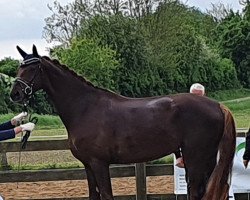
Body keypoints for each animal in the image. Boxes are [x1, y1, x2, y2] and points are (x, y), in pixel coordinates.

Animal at [10, 45, 236, 200]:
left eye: (33, 69)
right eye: (19, 68)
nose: (15, 94)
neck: (85, 107)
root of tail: (218, 106)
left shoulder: (99, 163)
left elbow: (107, 195)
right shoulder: (87, 165)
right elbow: (94, 195)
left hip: (196, 158)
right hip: (205, 159)